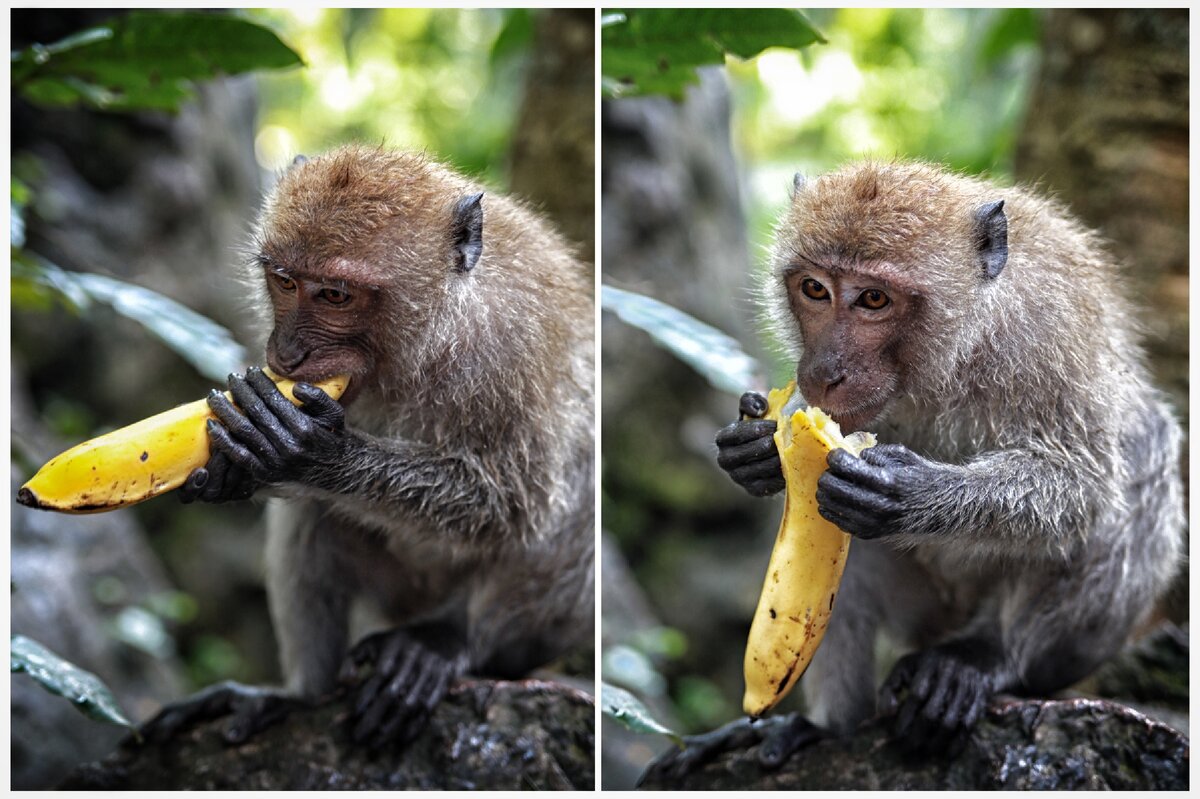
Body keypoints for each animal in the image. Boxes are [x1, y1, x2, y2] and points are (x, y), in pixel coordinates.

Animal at [145, 143, 595, 748]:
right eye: (285, 282)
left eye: (335, 295)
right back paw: (301, 694)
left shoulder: (514, 351)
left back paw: (447, 640)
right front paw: (232, 469)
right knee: (312, 515)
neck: (435, 334)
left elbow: (514, 505)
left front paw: (314, 452)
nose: (286, 353)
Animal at [648, 158, 1180, 772]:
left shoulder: (1051, 332)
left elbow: (1085, 485)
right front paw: (752, 454)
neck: (959, 349)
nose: (823, 372)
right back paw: (826, 726)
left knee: (1147, 450)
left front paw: (910, 494)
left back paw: (980, 657)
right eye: (815, 289)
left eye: (874, 299)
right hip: (917, 610)